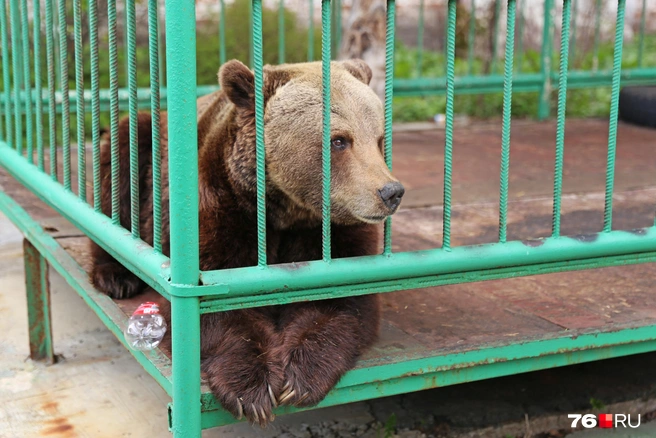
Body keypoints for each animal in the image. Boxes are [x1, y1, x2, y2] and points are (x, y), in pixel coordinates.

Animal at [87, 58, 404, 424]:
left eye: (379, 139)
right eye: (339, 141)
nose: (390, 192)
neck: (288, 211)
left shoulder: (334, 231)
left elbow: (343, 299)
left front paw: (301, 375)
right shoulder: (224, 205)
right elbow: (216, 303)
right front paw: (251, 387)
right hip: (146, 151)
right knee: (119, 171)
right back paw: (115, 275)